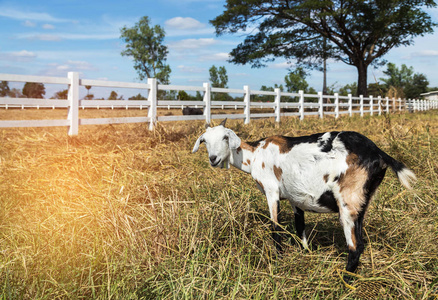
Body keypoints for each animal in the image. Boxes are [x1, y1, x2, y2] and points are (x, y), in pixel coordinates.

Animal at [192, 118, 418, 278]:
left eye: (225, 138)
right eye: (204, 141)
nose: (213, 159)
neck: (255, 155)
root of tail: (378, 153)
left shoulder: (271, 191)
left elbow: (276, 228)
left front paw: (279, 260)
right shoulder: (295, 198)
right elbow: (299, 225)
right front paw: (306, 253)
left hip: (348, 200)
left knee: (355, 247)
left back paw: (344, 282)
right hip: (362, 201)